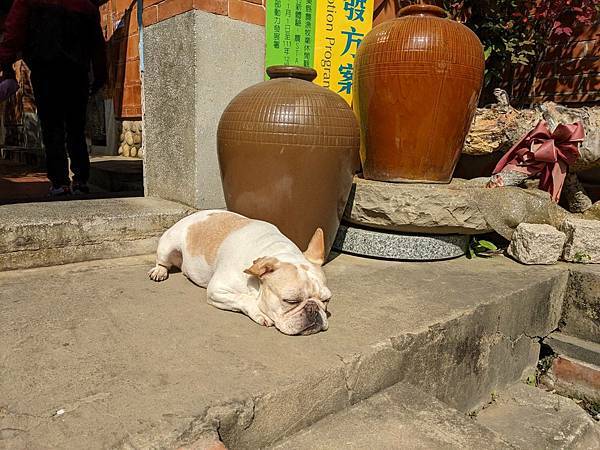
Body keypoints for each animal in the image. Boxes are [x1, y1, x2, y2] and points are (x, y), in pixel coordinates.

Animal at [148, 211, 330, 334]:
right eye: (290, 301)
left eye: (326, 300)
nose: (313, 309)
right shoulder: (217, 290)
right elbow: (244, 298)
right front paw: (259, 312)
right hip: (168, 246)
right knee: (162, 261)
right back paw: (159, 271)